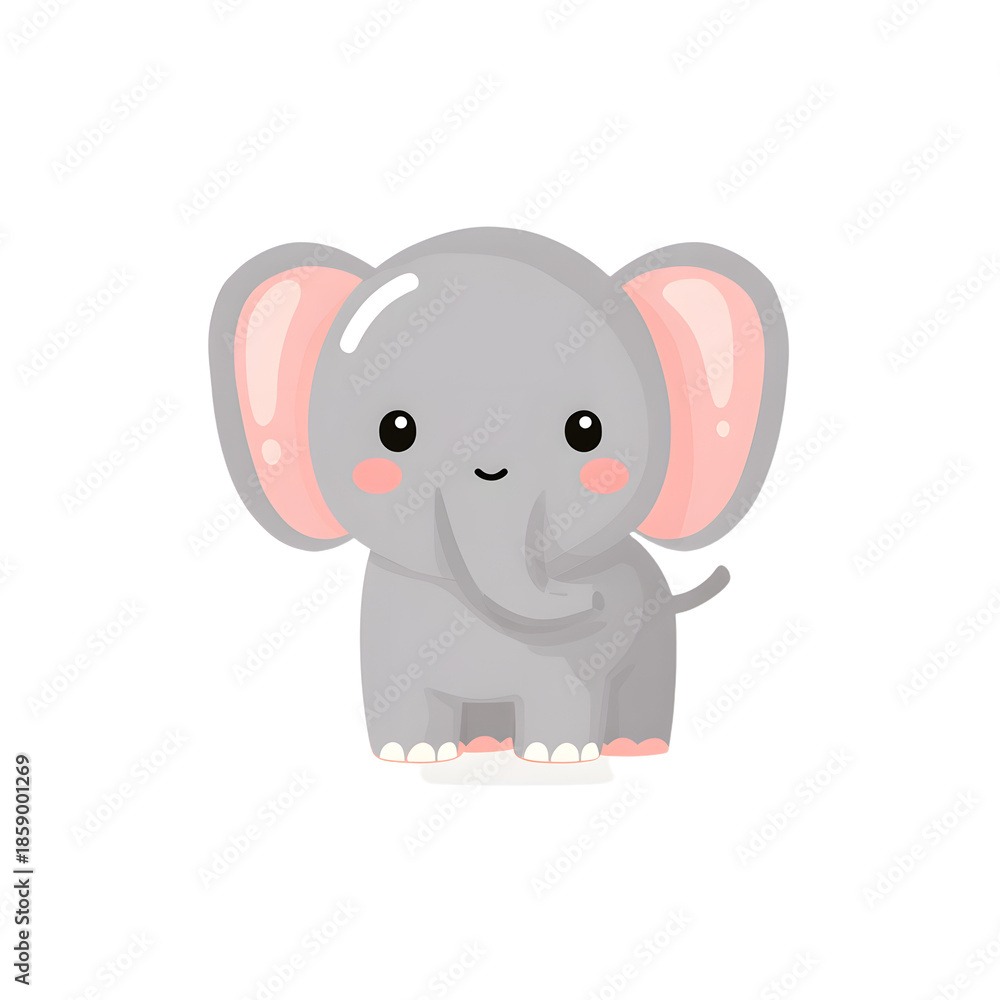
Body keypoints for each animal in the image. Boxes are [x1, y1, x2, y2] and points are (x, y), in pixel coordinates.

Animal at [209, 228, 787, 763]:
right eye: (395, 430)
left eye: (586, 430)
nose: (594, 600)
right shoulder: (386, 627)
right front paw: (410, 755)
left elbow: (566, 693)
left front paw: (558, 758)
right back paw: (486, 743)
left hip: (655, 635)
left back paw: (633, 747)